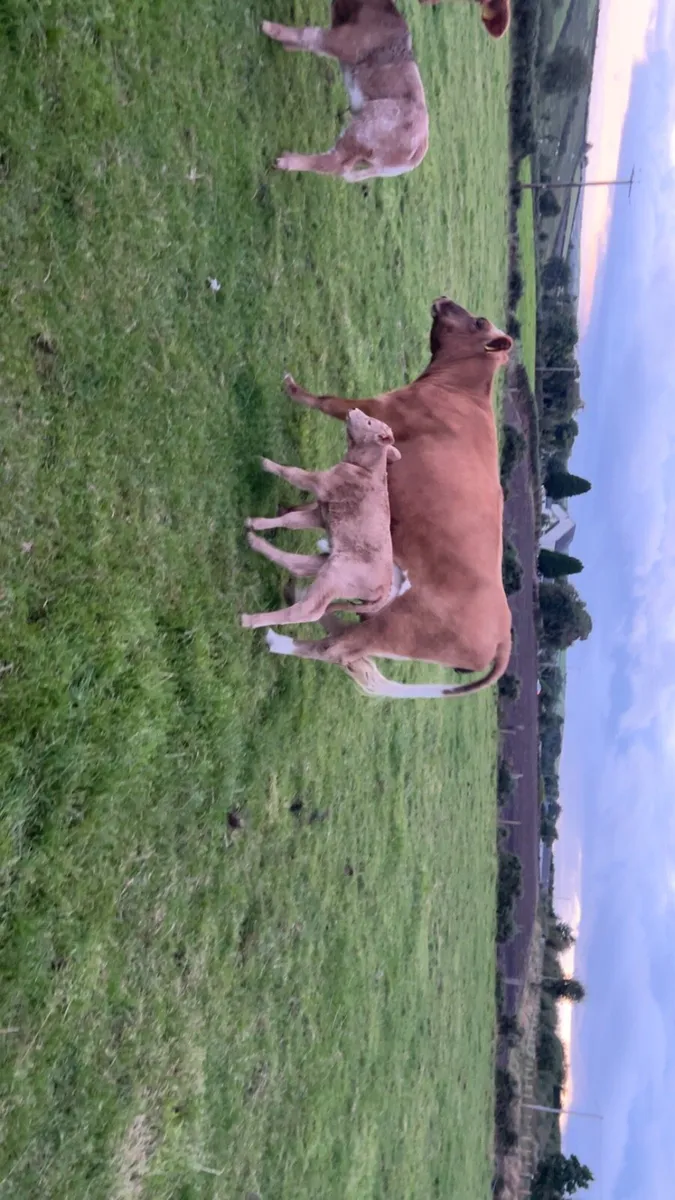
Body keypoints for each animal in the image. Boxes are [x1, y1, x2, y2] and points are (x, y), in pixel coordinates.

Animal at [241, 409, 402, 629]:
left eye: (369, 422)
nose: (353, 410)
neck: (365, 469)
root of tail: (386, 591)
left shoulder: (320, 483)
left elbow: (292, 472)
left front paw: (265, 463)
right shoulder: (320, 514)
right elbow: (290, 520)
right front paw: (258, 523)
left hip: (336, 576)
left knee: (308, 610)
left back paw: (249, 620)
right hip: (327, 562)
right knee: (298, 565)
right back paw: (255, 541)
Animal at [261, 0, 428, 182]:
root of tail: (419, 150)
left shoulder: (342, 41)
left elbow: (309, 35)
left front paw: (268, 27)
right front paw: (287, 46)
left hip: (364, 131)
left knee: (334, 162)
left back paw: (284, 161)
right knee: (341, 166)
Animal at [263, 297, 514, 699]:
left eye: (478, 322)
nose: (444, 299)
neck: (464, 391)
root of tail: (504, 636)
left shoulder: (380, 409)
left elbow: (328, 401)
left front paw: (292, 387)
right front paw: (290, 510)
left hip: (393, 629)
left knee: (336, 649)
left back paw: (277, 639)